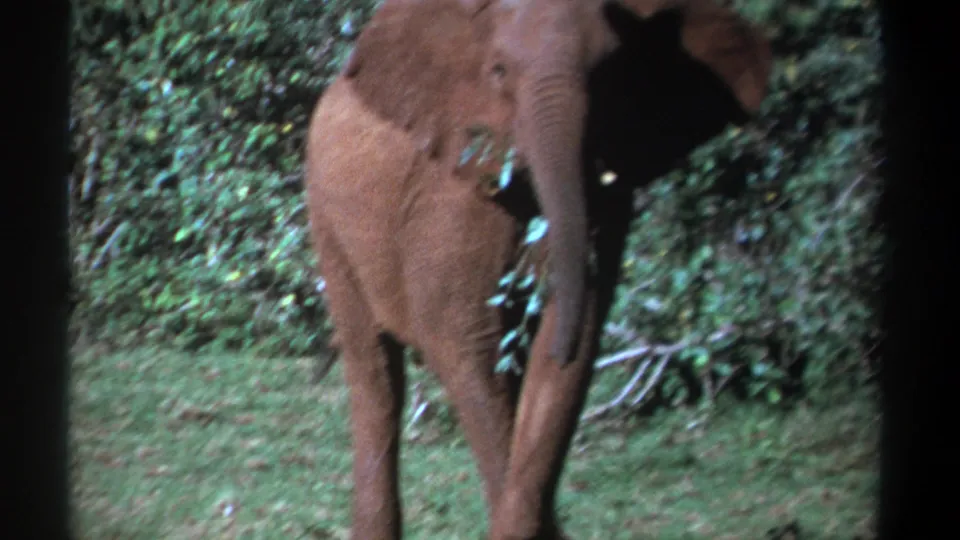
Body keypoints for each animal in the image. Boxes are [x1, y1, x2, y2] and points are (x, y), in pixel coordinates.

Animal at [302, 0, 772, 538]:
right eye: (499, 72)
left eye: (610, 72)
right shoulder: (449, 191)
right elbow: (465, 341)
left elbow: (569, 350)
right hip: (327, 217)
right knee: (375, 374)